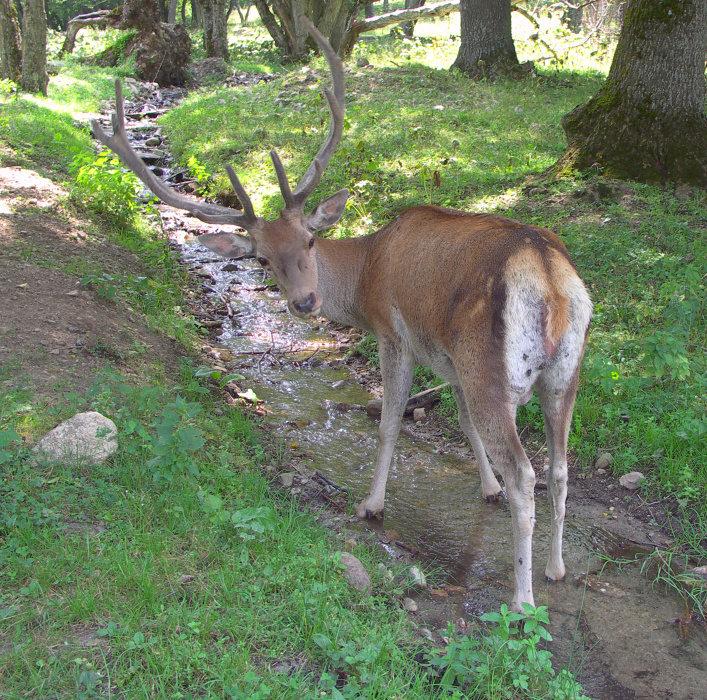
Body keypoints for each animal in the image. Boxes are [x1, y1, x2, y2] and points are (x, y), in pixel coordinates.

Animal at [92, 16, 592, 608]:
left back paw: (522, 599)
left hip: (493, 365)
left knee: (526, 474)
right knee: (559, 468)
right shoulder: (451, 360)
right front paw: (483, 487)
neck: (367, 273)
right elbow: (463, 421)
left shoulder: (395, 333)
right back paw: (556, 568)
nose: (305, 302)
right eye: (262, 258)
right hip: (563, 372)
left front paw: (371, 505)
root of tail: (549, 281)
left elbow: (391, 420)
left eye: (310, 241)